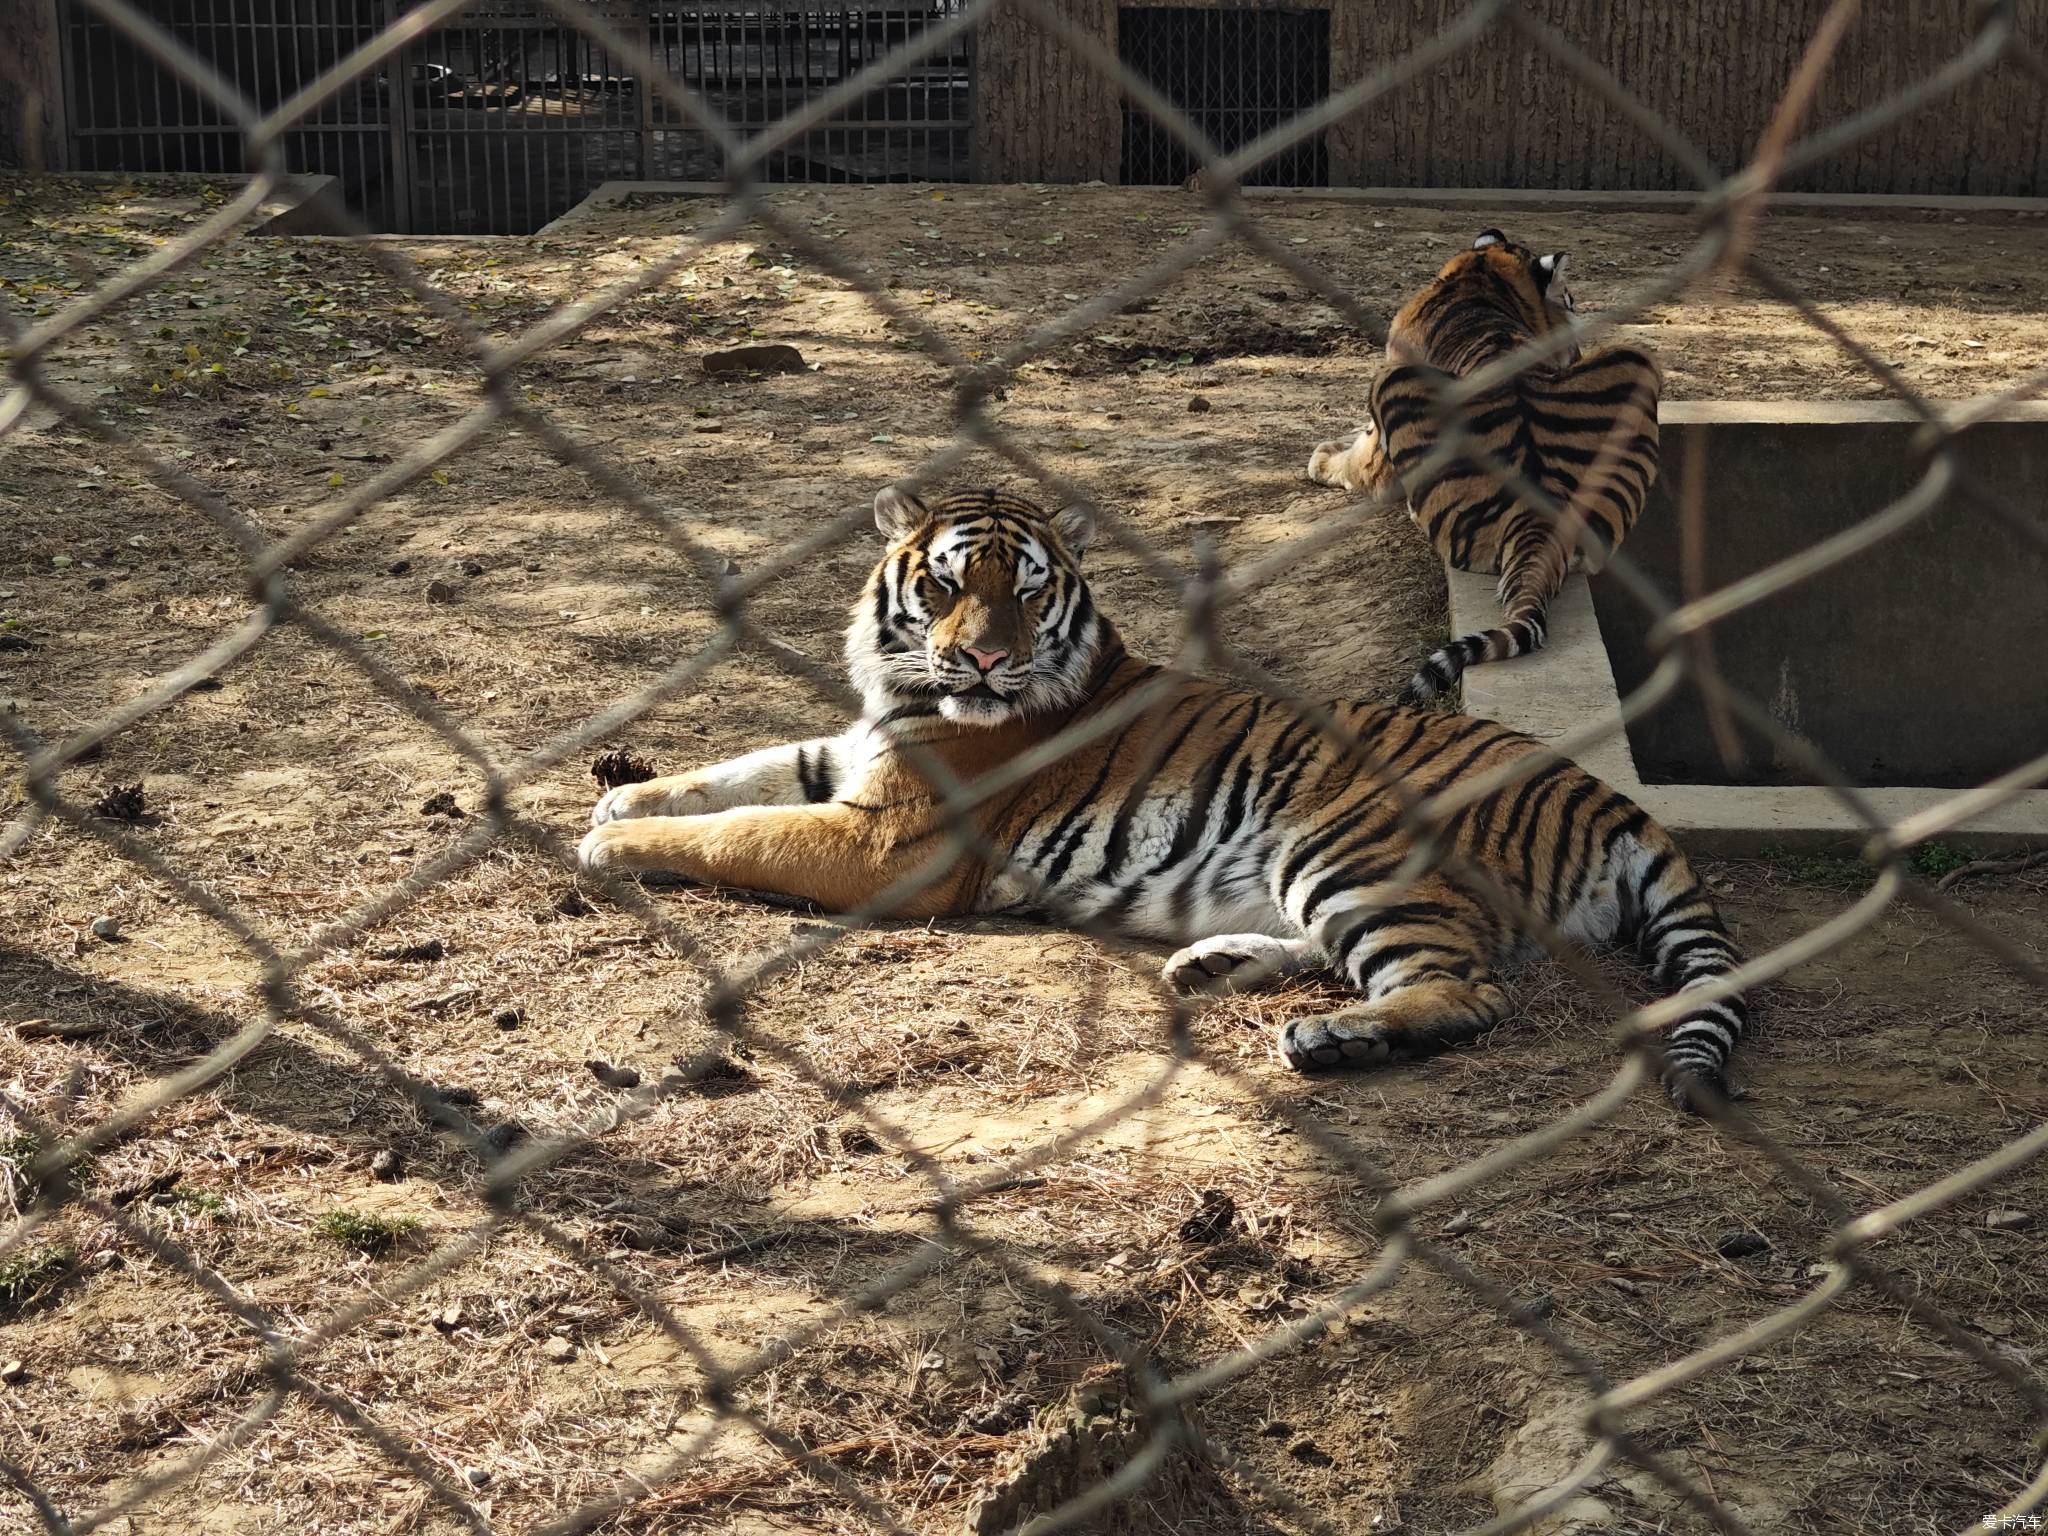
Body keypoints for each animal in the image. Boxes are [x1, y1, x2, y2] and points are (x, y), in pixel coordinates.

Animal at [585, 487, 1753, 1114]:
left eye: (1029, 590)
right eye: (946, 584)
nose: (985, 660)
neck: (904, 686)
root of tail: (1600, 792)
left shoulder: (893, 840)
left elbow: (742, 826)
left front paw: (606, 849)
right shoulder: (850, 758)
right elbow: (738, 773)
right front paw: (617, 801)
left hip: (1351, 849)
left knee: (1465, 990)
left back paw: (1332, 1041)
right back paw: (1214, 966)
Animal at [1310, 228, 1662, 708]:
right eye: (1570, 302)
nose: (1576, 346)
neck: (1482, 277)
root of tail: (1540, 520)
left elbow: (1358, 459)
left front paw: (1322, 457)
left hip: (1391, 384)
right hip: (1635, 359)